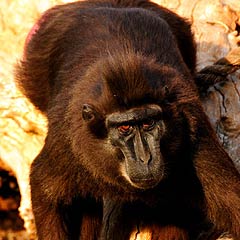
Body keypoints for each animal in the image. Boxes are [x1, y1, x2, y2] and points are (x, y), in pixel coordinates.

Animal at [15, 0, 240, 240]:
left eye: (148, 123)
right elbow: (45, 190)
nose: (145, 158)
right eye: (124, 127)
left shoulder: (192, 126)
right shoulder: (69, 141)